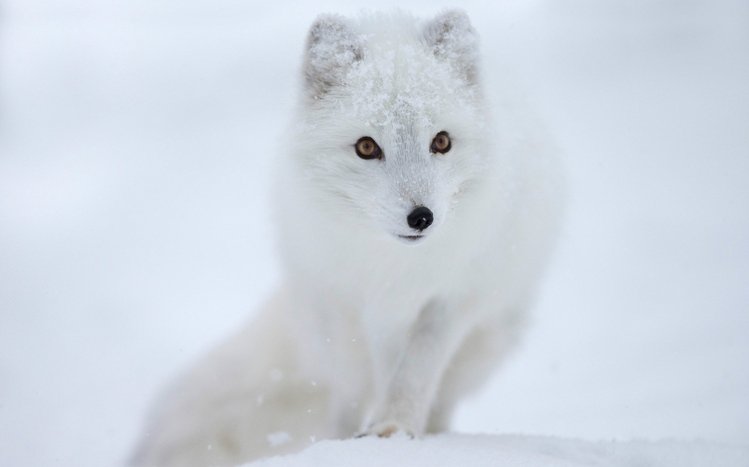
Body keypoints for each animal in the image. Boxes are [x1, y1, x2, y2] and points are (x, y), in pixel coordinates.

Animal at [131, 10, 562, 467]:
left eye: (441, 141)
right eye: (367, 147)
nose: (421, 217)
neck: (393, 266)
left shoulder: (451, 300)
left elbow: (415, 371)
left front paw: (395, 429)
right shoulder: (350, 306)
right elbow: (362, 387)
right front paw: (351, 442)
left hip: (488, 338)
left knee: (440, 397)